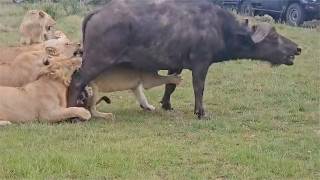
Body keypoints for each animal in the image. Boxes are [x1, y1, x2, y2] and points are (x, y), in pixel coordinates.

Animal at [67, 0, 300, 119]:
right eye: (273, 37)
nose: (297, 48)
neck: (219, 28)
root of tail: (97, 12)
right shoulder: (201, 64)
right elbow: (199, 87)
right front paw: (201, 112)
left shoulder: (176, 65)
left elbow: (170, 85)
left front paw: (167, 105)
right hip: (97, 60)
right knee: (76, 81)